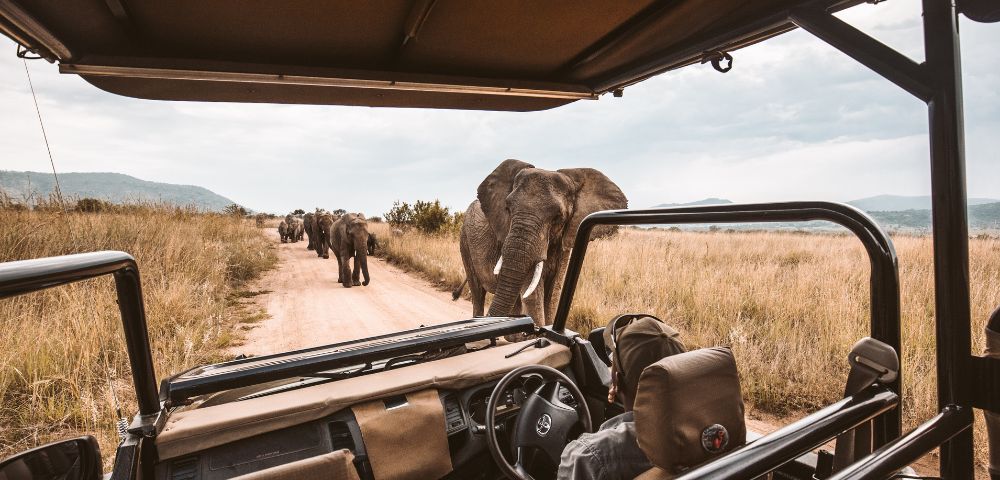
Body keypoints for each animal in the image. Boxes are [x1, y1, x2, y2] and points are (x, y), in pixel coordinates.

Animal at [457, 159, 627, 327]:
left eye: (558, 216)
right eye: (508, 208)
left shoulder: (565, 242)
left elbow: (553, 294)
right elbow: (533, 296)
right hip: (464, 241)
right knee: (478, 294)